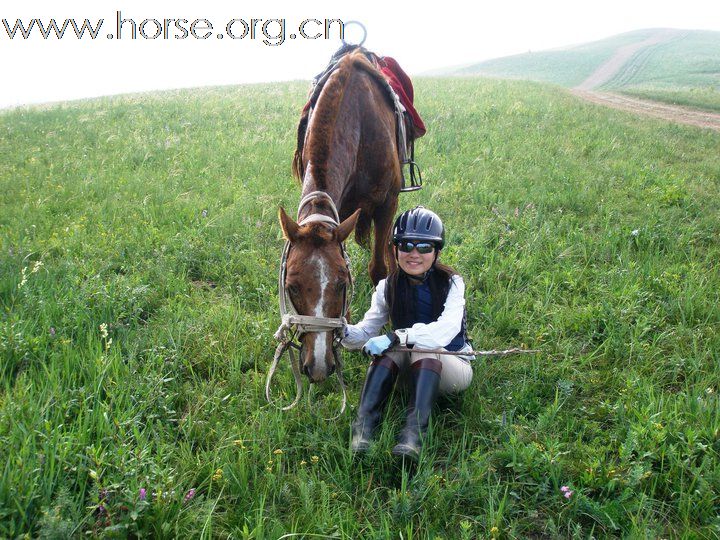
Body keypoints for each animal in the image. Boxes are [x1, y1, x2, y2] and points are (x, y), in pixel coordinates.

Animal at [278, 47, 402, 384]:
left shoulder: (387, 203)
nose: (319, 366)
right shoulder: (341, 211)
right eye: (292, 286)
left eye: (342, 284)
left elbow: (378, 269)